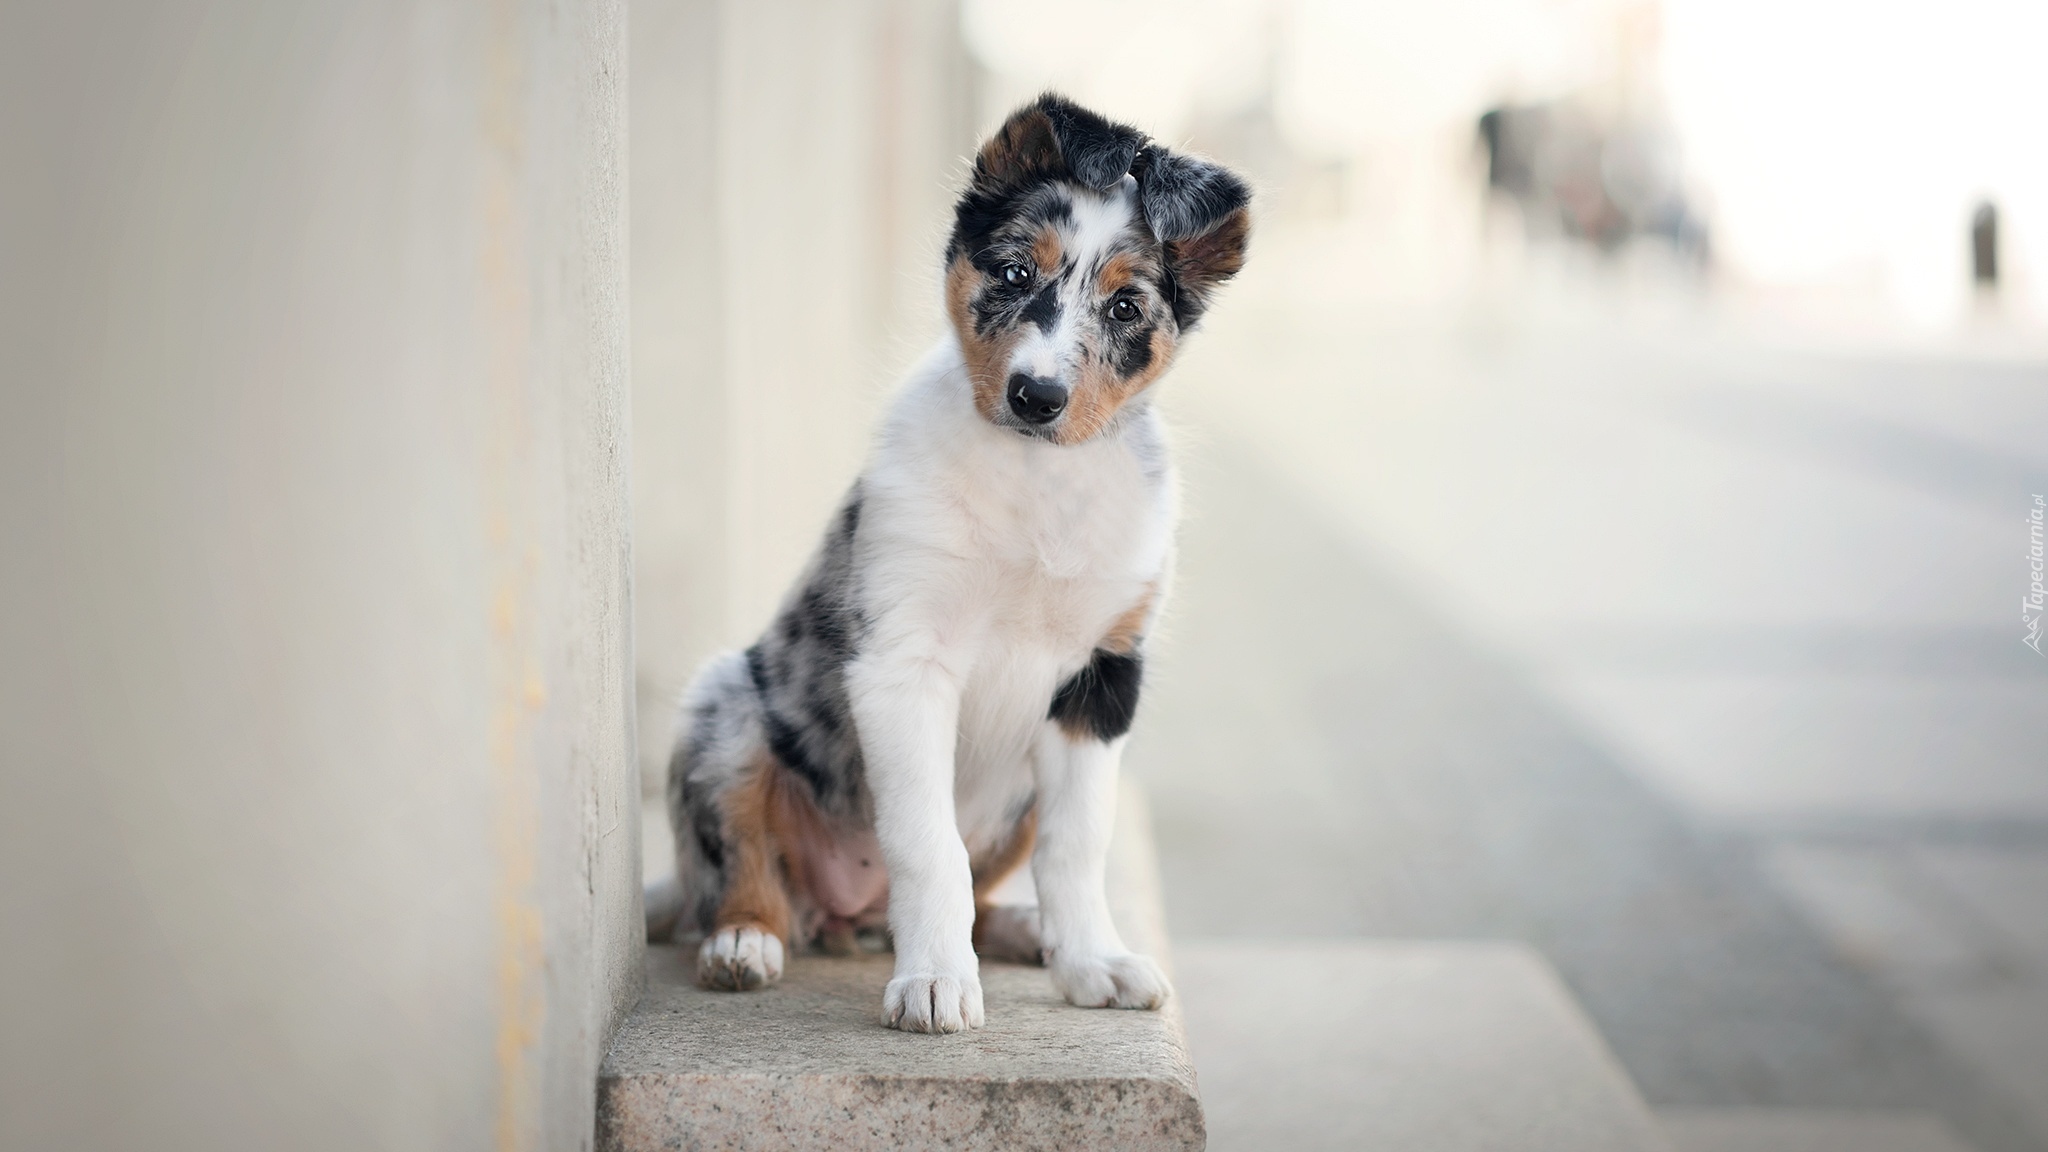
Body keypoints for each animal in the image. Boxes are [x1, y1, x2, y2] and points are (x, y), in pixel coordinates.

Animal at [663, 94, 1253, 1024]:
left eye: (1126, 309)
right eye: (1012, 274)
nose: (1036, 396)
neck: (1036, 480)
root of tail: (848, 916)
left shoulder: (1102, 681)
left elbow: (1077, 845)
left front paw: (1091, 961)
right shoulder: (904, 665)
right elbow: (924, 842)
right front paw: (935, 981)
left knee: (992, 883)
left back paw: (1023, 933)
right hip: (724, 710)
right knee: (741, 861)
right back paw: (744, 942)